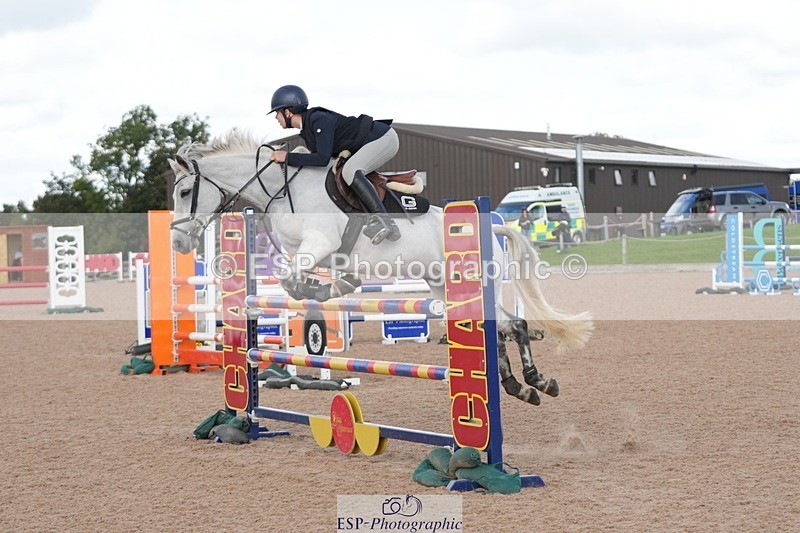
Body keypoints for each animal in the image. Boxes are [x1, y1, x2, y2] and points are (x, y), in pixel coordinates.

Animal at [169, 130, 593, 405]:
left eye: (185, 191)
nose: (178, 244)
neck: (281, 188)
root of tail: (492, 225)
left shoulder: (319, 244)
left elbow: (292, 281)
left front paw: (321, 292)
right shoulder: (313, 253)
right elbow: (299, 278)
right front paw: (333, 289)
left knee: (511, 326)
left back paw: (534, 382)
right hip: (443, 287)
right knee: (504, 328)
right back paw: (524, 387)